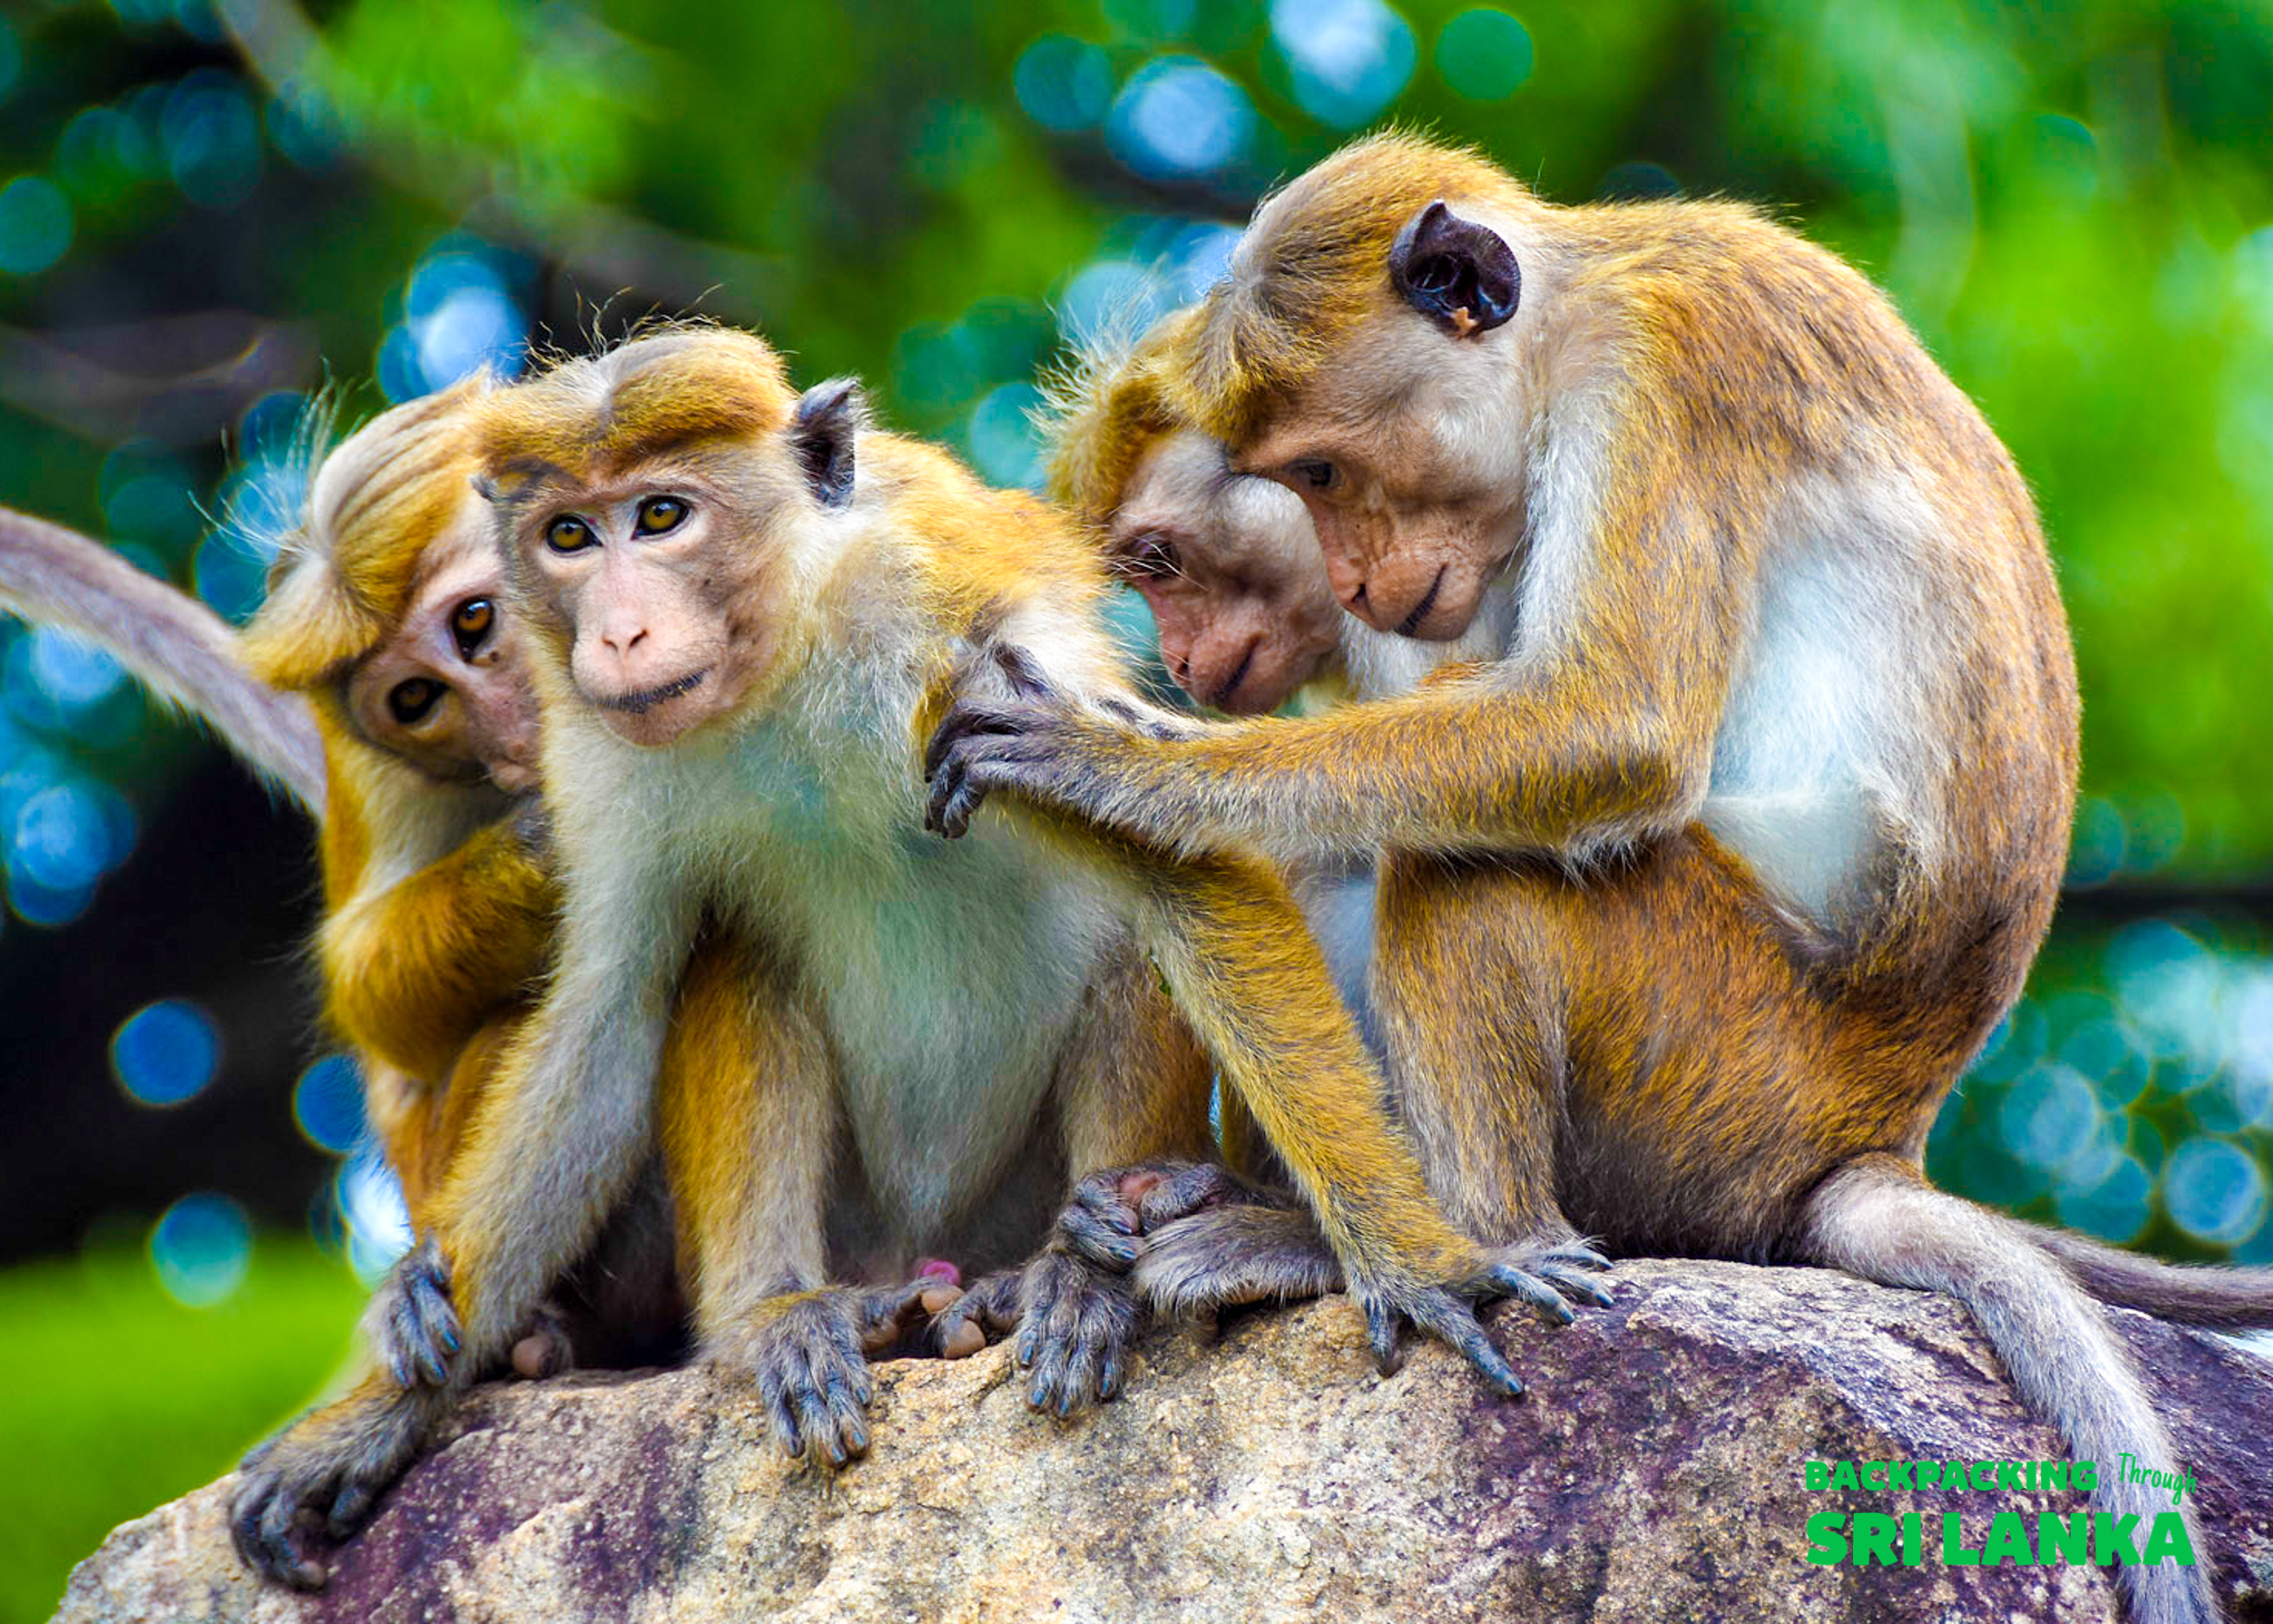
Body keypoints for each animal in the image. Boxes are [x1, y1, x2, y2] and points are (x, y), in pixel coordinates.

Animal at [224, 325, 1605, 1588]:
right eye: (570, 535)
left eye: (661, 515)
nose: (615, 634)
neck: (781, 648)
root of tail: (927, 1256)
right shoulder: (596, 760)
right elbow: (609, 1017)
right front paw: (378, 1407)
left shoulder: (958, 637)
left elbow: (1173, 865)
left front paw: (1416, 1264)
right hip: (862, 1221)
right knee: (731, 942)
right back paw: (782, 1318)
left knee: (1118, 941)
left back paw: (1068, 1276)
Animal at [927, 134, 2271, 1624]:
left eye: (1320, 471)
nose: (1177, 653)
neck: (1568, 315)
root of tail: (1872, 1135)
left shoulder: (1660, 379)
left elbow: (1599, 729)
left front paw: (1108, 761)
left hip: (1726, 1067)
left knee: (1472, 870)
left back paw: (1465, 1247)